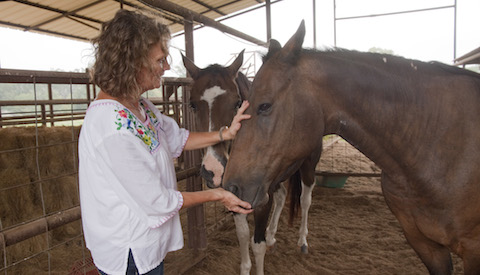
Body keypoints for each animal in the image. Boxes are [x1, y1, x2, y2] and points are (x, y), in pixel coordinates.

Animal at [181, 52, 318, 275]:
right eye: (192, 104)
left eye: (237, 103)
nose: (214, 171)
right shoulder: (236, 195)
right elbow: (243, 234)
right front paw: (246, 267)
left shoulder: (261, 200)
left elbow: (256, 244)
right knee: (282, 196)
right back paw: (272, 237)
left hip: (309, 165)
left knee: (305, 200)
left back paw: (302, 241)